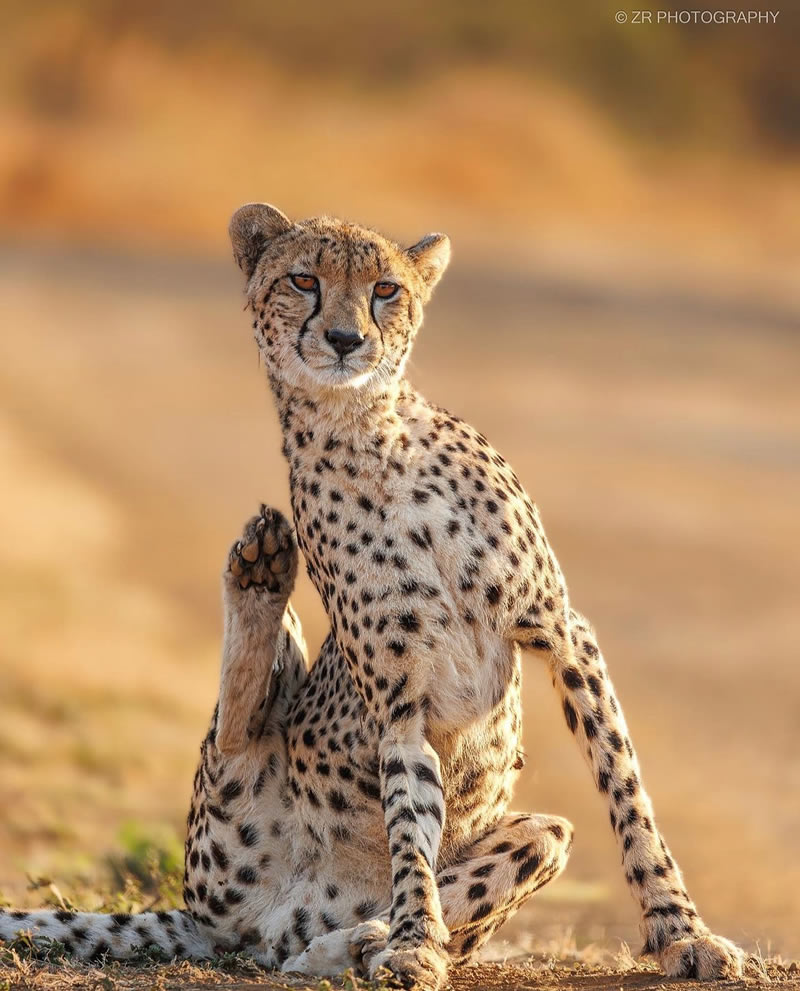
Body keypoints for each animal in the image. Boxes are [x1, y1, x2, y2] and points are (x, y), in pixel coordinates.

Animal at [0, 205, 764, 988]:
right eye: (304, 280)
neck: (368, 435)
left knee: (522, 849)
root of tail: (230, 926)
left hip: (534, 838)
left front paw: (682, 931)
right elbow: (409, 824)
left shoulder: (561, 632)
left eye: (386, 289)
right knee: (238, 727)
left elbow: (626, 791)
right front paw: (413, 941)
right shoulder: (401, 703)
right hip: (224, 842)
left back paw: (353, 940)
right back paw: (261, 573)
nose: (344, 339)